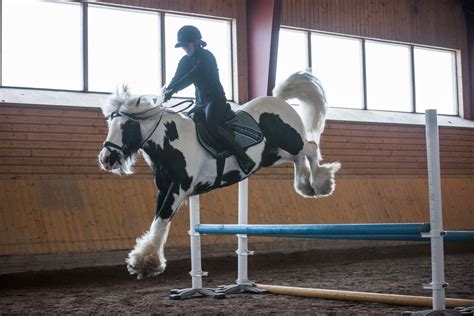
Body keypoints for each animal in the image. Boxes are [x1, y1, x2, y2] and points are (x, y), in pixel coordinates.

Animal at [98, 70, 340, 278]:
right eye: (110, 123)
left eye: (127, 126)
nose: (106, 159)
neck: (171, 142)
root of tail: (278, 99)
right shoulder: (164, 189)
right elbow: (157, 220)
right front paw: (144, 260)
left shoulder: (178, 188)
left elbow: (162, 220)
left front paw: (146, 262)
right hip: (273, 154)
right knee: (299, 158)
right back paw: (306, 185)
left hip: (290, 141)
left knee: (310, 148)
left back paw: (321, 183)